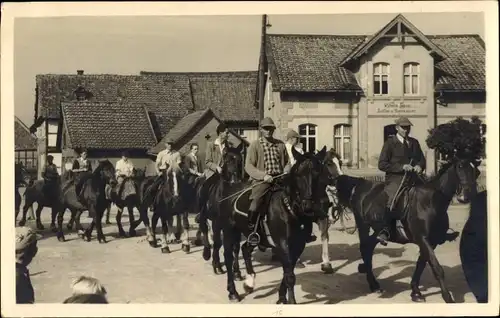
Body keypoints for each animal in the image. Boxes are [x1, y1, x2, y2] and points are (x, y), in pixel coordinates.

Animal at [330, 156, 478, 304]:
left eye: (476, 172)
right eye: (459, 167)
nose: (466, 197)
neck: (430, 202)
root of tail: (360, 184)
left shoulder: (431, 242)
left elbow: (421, 264)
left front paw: (416, 292)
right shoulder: (423, 239)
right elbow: (436, 267)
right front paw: (447, 297)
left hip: (378, 231)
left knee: (369, 247)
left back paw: (372, 281)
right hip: (363, 225)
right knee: (364, 248)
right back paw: (373, 283)